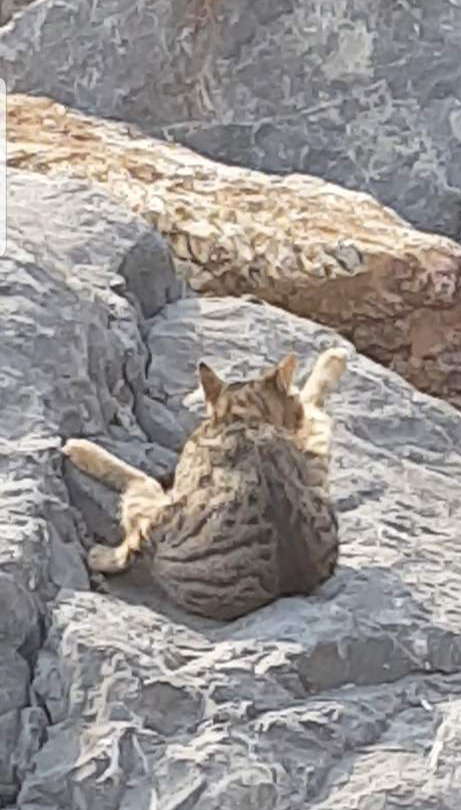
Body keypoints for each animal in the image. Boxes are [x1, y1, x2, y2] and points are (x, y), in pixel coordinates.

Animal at [63, 347, 348, 621]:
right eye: (292, 410)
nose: (296, 421)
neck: (245, 420)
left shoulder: (164, 512)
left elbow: (129, 536)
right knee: (318, 416)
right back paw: (336, 354)